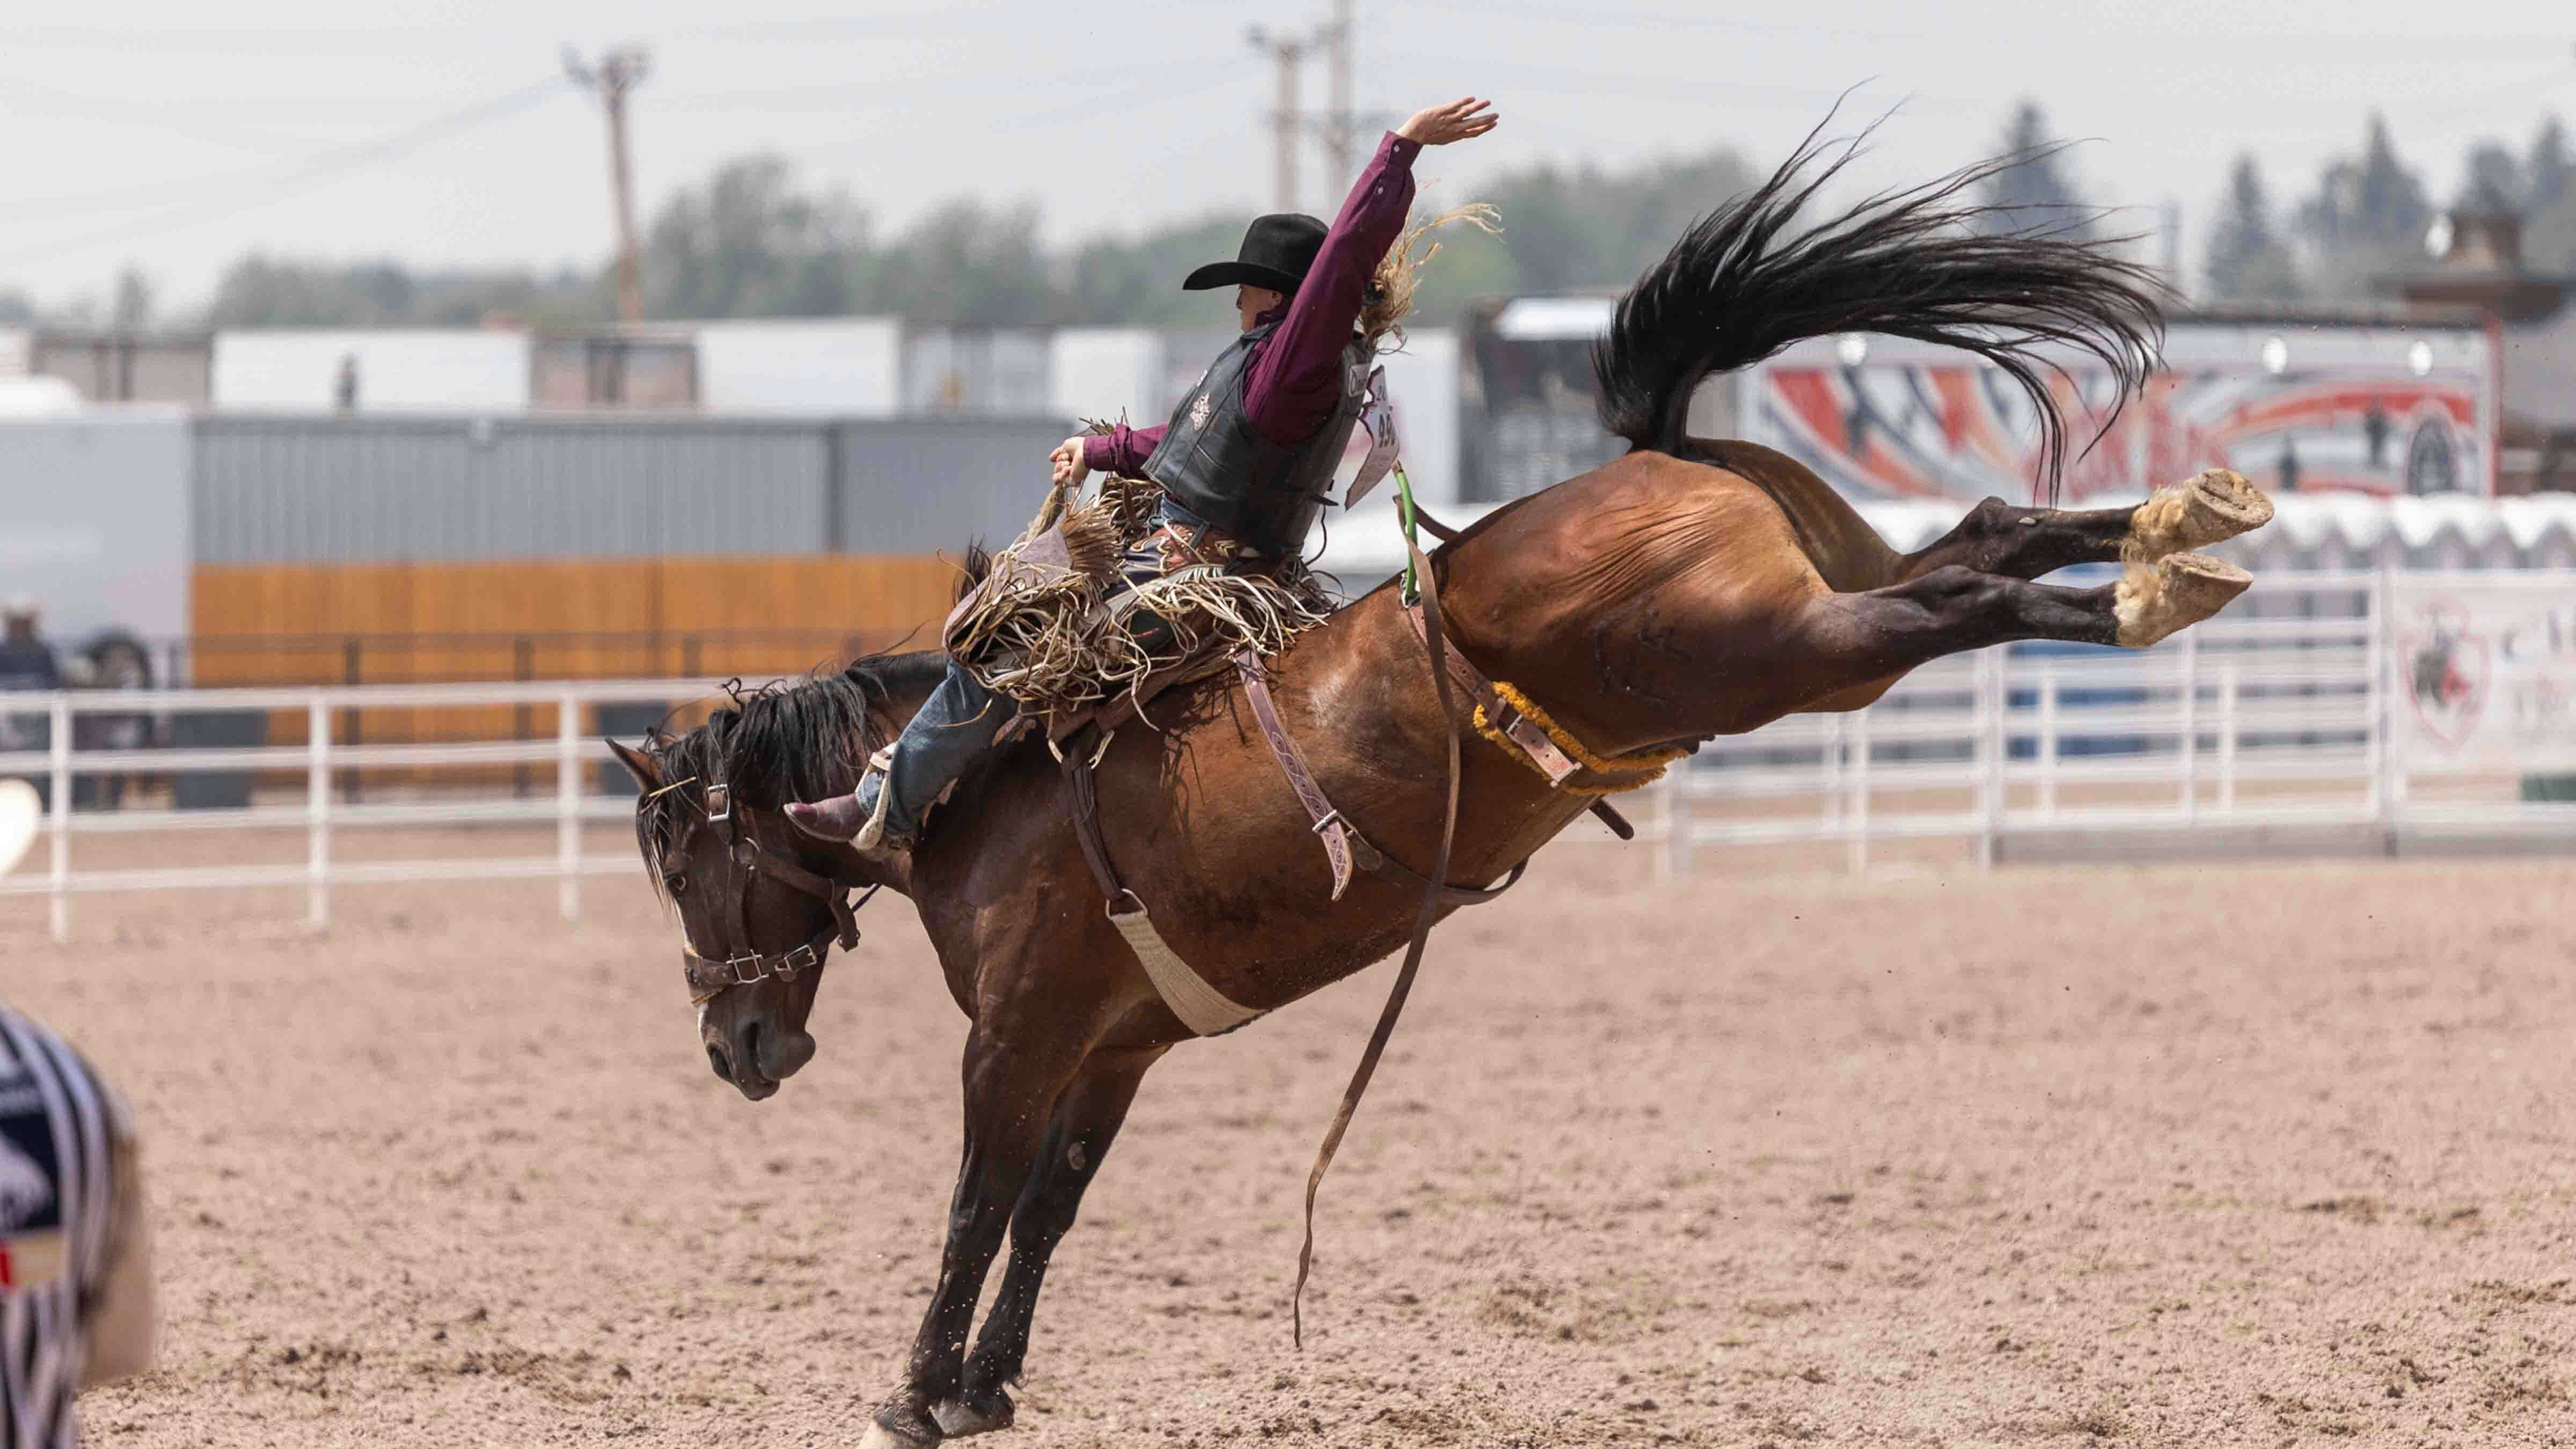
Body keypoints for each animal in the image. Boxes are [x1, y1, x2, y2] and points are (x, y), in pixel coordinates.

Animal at [603, 129, 2277, 1433]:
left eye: (682, 863)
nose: (737, 1046)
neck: (982, 787)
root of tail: (1659, 455)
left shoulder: (1016, 1032)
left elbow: (976, 1199)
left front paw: (913, 1392)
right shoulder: (1117, 1041)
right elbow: (1051, 1206)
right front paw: (987, 1386)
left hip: (1775, 648)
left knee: (1968, 592)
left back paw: (2157, 580)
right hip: (1824, 618)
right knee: (1989, 535)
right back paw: (2183, 528)